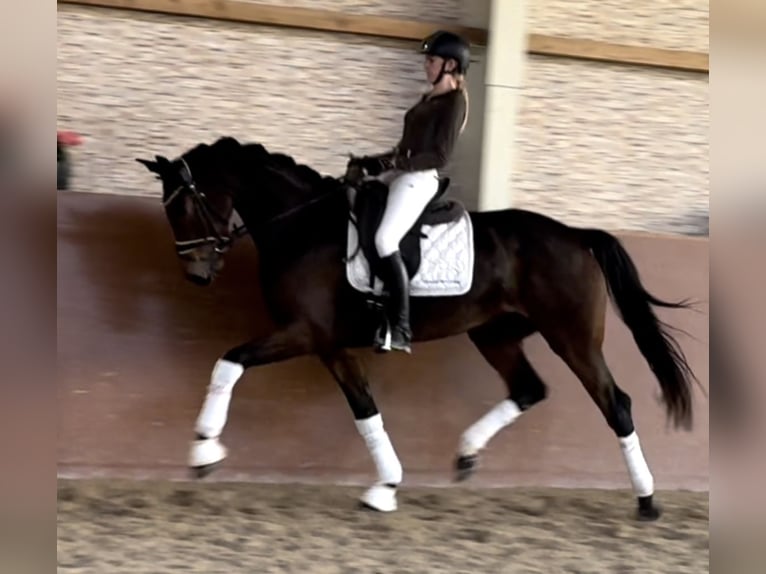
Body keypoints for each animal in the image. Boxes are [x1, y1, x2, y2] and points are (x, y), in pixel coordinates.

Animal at [138, 137, 704, 520]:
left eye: (184, 205)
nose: (196, 274)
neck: (302, 228)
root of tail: (575, 234)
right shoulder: (331, 345)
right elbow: (365, 410)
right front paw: (386, 487)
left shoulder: (305, 333)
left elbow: (228, 363)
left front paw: (203, 448)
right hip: (494, 333)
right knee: (528, 389)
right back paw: (467, 454)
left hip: (573, 338)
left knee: (616, 404)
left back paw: (647, 500)